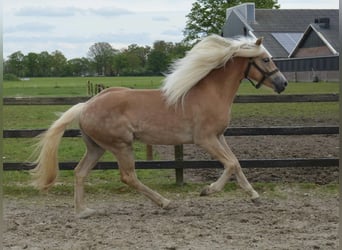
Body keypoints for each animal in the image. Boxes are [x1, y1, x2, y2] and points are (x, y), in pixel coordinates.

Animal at [32, 34, 288, 218]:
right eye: (266, 59)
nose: (283, 83)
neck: (212, 93)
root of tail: (86, 105)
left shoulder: (219, 137)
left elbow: (236, 164)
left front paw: (254, 196)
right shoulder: (205, 139)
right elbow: (231, 164)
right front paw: (208, 190)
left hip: (97, 148)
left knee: (80, 172)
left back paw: (83, 211)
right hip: (120, 146)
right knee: (128, 177)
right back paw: (165, 202)